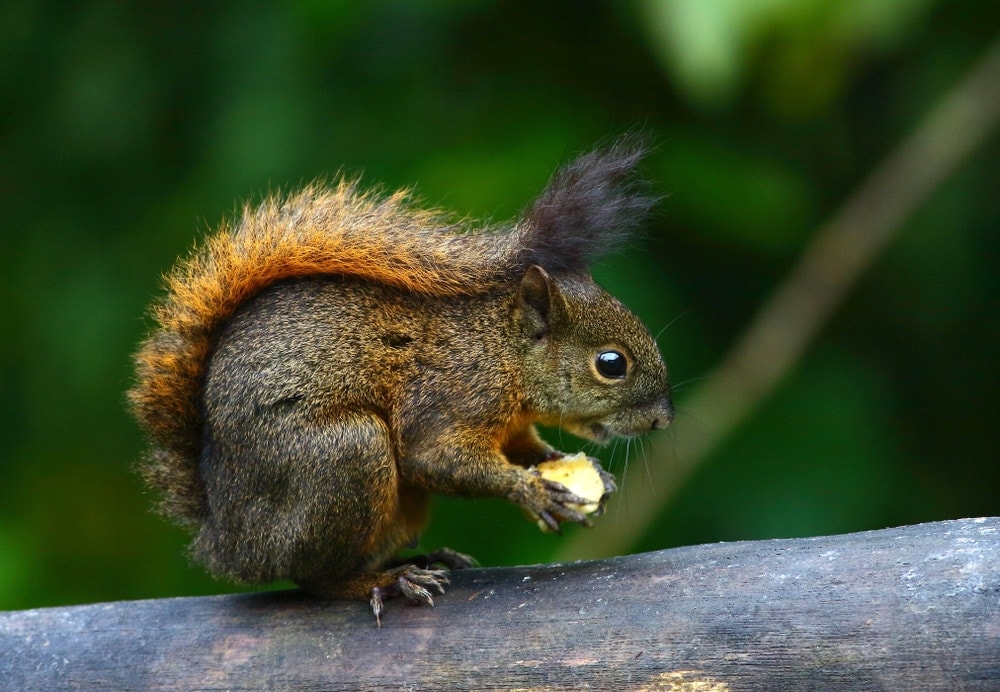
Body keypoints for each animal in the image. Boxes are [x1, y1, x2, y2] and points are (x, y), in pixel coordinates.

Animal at [129, 137, 673, 624]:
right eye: (611, 363)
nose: (663, 420)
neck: (500, 353)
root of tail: (226, 539)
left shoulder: (511, 426)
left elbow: (526, 449)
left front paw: (577, 470)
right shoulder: (453, 396)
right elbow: (435, 459)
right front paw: (532, 491)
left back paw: (426, 559)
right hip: (345, 455)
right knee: (316, 578)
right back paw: (389, 582)